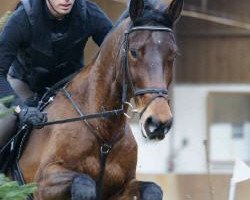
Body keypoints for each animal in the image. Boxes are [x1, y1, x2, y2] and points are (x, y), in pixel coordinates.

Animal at [17, 0, 183, 199]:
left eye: (173, 55)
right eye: (134, 52)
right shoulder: (42, 182)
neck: (103, 132)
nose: (158, 122)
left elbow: (153, 188)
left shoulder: (122, 187)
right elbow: (84, 183)